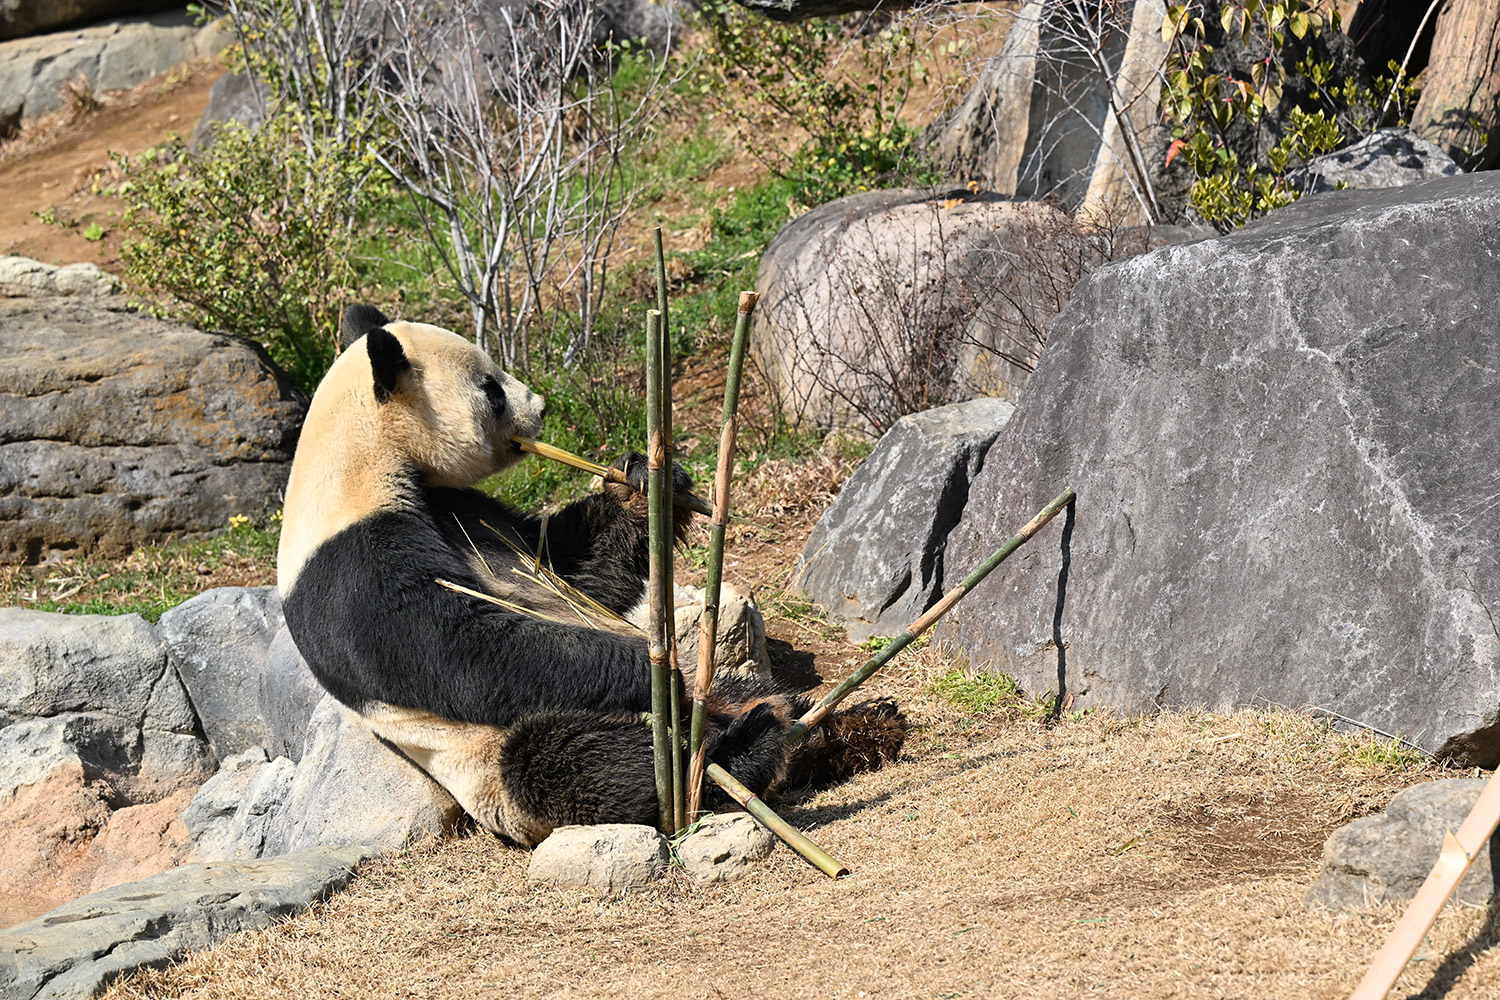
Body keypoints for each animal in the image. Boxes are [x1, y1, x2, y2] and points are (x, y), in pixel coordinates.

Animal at [277, 302, 906, 845]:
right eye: (491, 389)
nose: (542, 408)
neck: (360, 455)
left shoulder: (460, 506)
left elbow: (567, 567)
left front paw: (644, 482)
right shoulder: (352, 565)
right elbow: (462, 648)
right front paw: (646, 668)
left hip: (717, 694)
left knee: (744, 692)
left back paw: (845, 724)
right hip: (493, 766)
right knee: (573, 762)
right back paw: (748, 745)